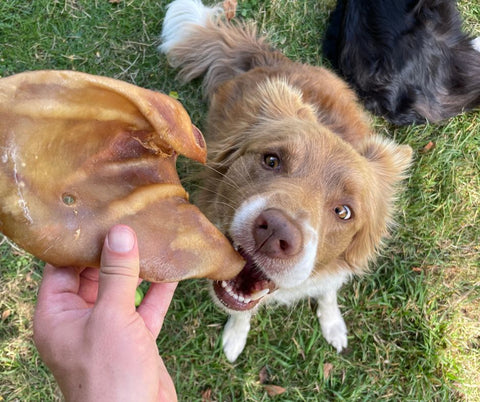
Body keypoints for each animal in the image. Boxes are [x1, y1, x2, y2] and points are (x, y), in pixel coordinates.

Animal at [159, 0, 410, 362]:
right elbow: (242, 311)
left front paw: (333, 325)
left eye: (344, 211)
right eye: (272, 160)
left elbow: (328, 292)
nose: (276, 231)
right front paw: (236, 335)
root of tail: (270, 59)